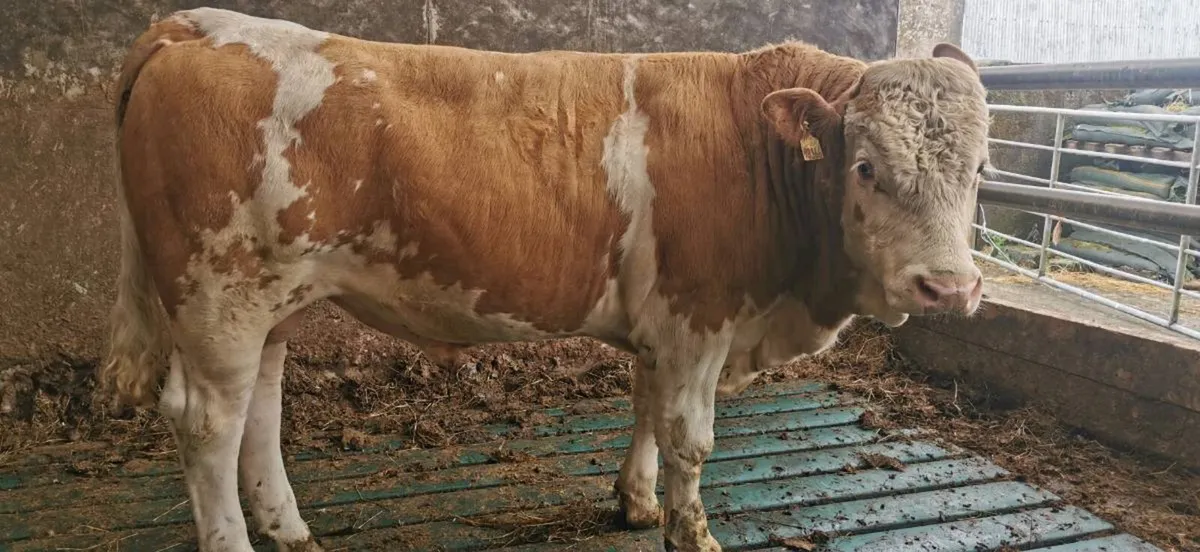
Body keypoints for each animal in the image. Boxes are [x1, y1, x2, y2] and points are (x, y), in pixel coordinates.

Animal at [102, 8, 989, 552]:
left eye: (981, 168)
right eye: (867, 168)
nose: (950, 290)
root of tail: (197, 24)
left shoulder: (663, 326)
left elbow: (645, 410)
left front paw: (635, 501)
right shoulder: (697, 317)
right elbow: (690, 438)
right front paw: (690, 530)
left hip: (271, 301)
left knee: (260, 405)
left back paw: (288, 528)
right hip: (220, 292)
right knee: (208, 423)